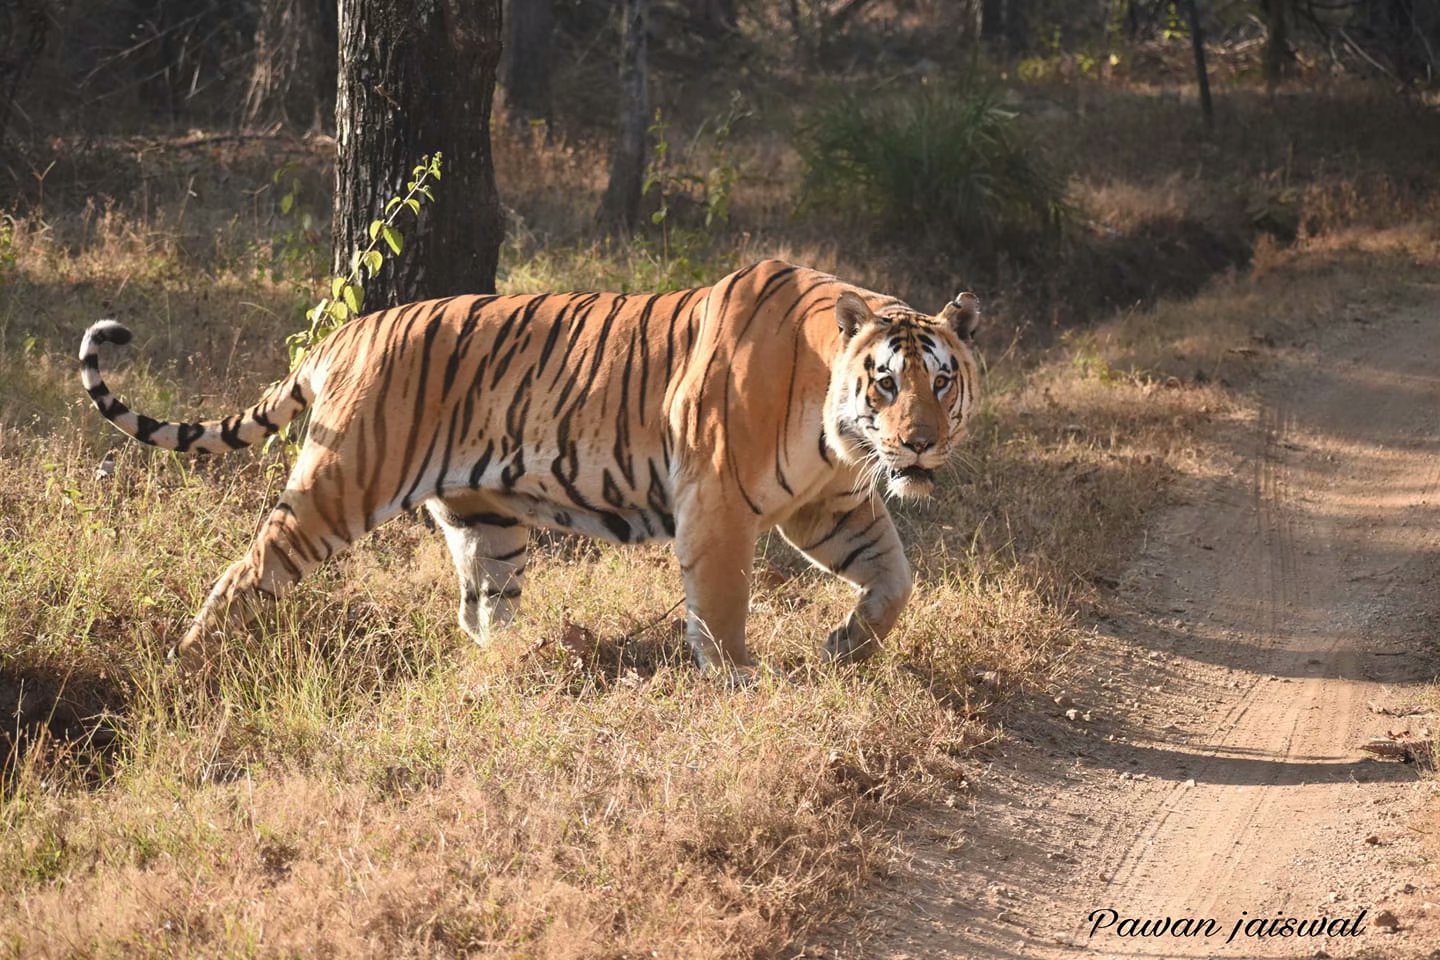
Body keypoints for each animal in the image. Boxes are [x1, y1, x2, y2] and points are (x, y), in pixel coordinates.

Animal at [78, 259, 979, 673]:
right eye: (886, 382)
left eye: (941, 380)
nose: (920, 443)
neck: (840, 434)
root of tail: (347, 332)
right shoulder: (721, 506)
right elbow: (722, 612)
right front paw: (742, 685)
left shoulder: (828, 505)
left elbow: (895, 579)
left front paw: (848, 646)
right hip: (337, 488)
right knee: (243, 574)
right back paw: (189, 666)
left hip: (486, 520)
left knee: (480, 611)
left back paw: (514, 672)